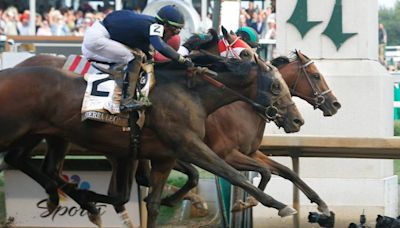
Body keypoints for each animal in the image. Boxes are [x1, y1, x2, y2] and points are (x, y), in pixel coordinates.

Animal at [3, 54, 304, 227]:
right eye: (275, 86)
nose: (297, 120)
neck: (192, 95)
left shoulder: (164, 157)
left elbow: (154, 203)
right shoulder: (191, 146)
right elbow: (235, 175)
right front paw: (280, 206)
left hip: (44, 134)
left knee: (24, 161)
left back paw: (68, 198)